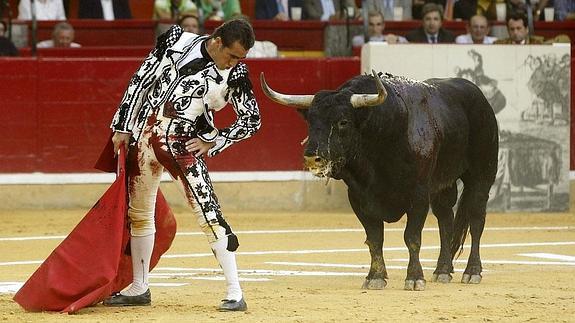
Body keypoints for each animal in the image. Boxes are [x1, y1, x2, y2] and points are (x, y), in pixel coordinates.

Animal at [260, 70, 500, 292]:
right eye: (310, 121)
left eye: (343, 122)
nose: (312, 157)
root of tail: (480, 97)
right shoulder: (358, 197)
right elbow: (375, 238)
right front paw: (375, 277)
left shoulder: (418, 195)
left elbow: (412, 237)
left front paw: (414, 278)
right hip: (443, 185)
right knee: (445, 221)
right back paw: (442, 270)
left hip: (482, 175)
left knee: (476, 221)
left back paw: (472, 272)